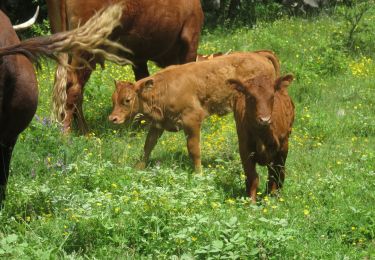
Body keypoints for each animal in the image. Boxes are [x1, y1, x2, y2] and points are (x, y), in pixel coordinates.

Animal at [47, 0, 206, 134]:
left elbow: (142, 83)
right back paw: (68, 133)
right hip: (86, 45)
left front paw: (143, 122)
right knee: (73, 86)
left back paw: (83, 131)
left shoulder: (138, 57)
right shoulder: (191, 36)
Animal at [107, 50, 280, 173]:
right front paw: (139, 167)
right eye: (113, 99)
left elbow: (194, 149)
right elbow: (148, 145)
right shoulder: (158, 124)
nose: (112, 118)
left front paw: (198, 173)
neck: (164, 89)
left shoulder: (192, 121)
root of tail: (259, 55)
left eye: (127, 100)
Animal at [228, 74, 296, 202]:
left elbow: (277, 174)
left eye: (272, 96)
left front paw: (274, 199)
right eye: (250, 96)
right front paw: (251, 201)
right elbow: (252, 177)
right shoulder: (244, 149)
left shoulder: (283, 147)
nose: (265, 119)